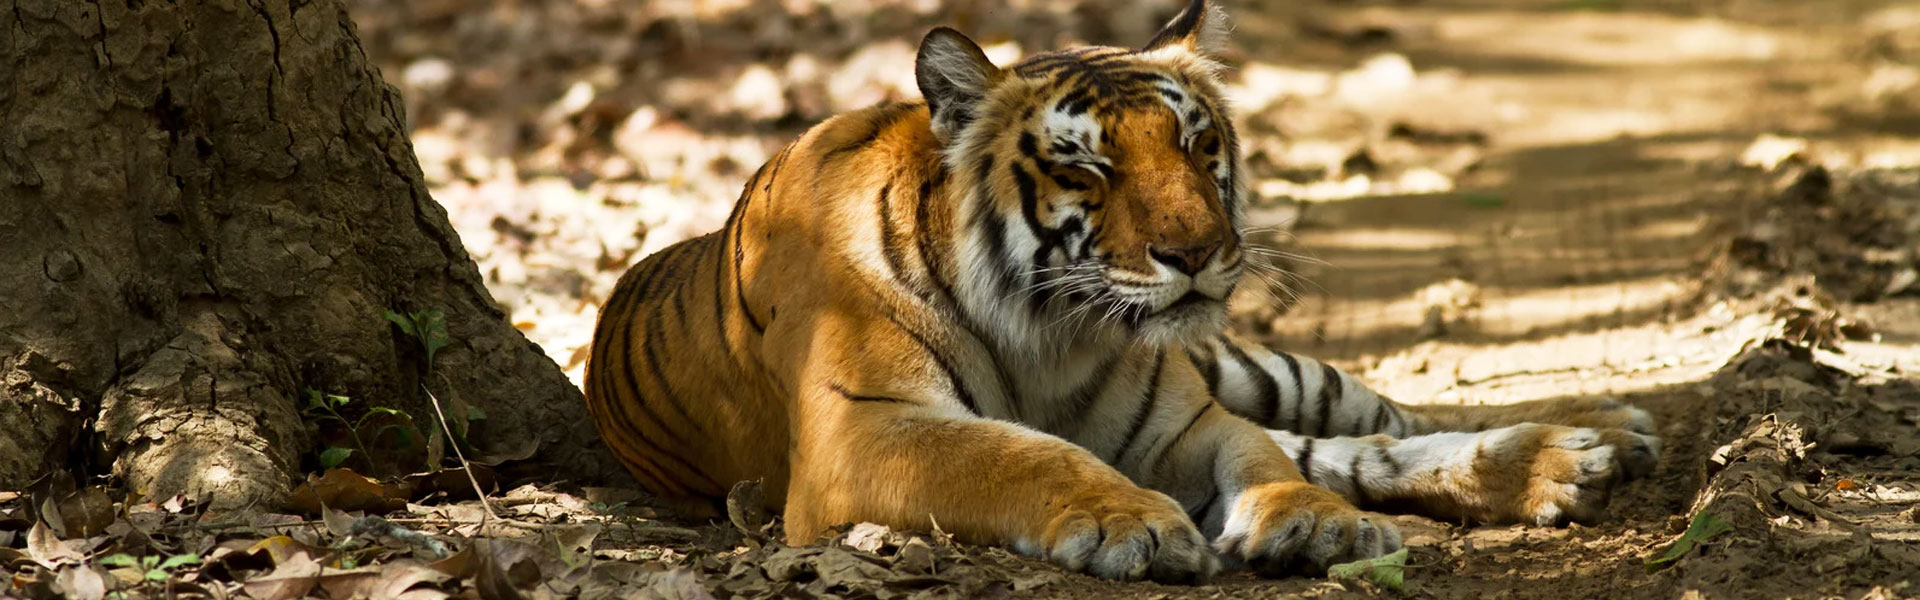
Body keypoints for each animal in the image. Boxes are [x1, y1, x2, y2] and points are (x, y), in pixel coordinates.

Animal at [576, 0, 1658, 580]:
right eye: (1087, 169)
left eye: (1197, 143)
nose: (1200, 250)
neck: (1050, 332)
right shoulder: (865, 431)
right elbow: (1021, 454)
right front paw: (1130, 521)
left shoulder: (1187, 419)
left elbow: (1267, 456)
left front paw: (1313, 519)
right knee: (1356, 442)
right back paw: (1579, 458)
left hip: (1247, 364)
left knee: (1373, 419)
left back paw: (1591, 440)